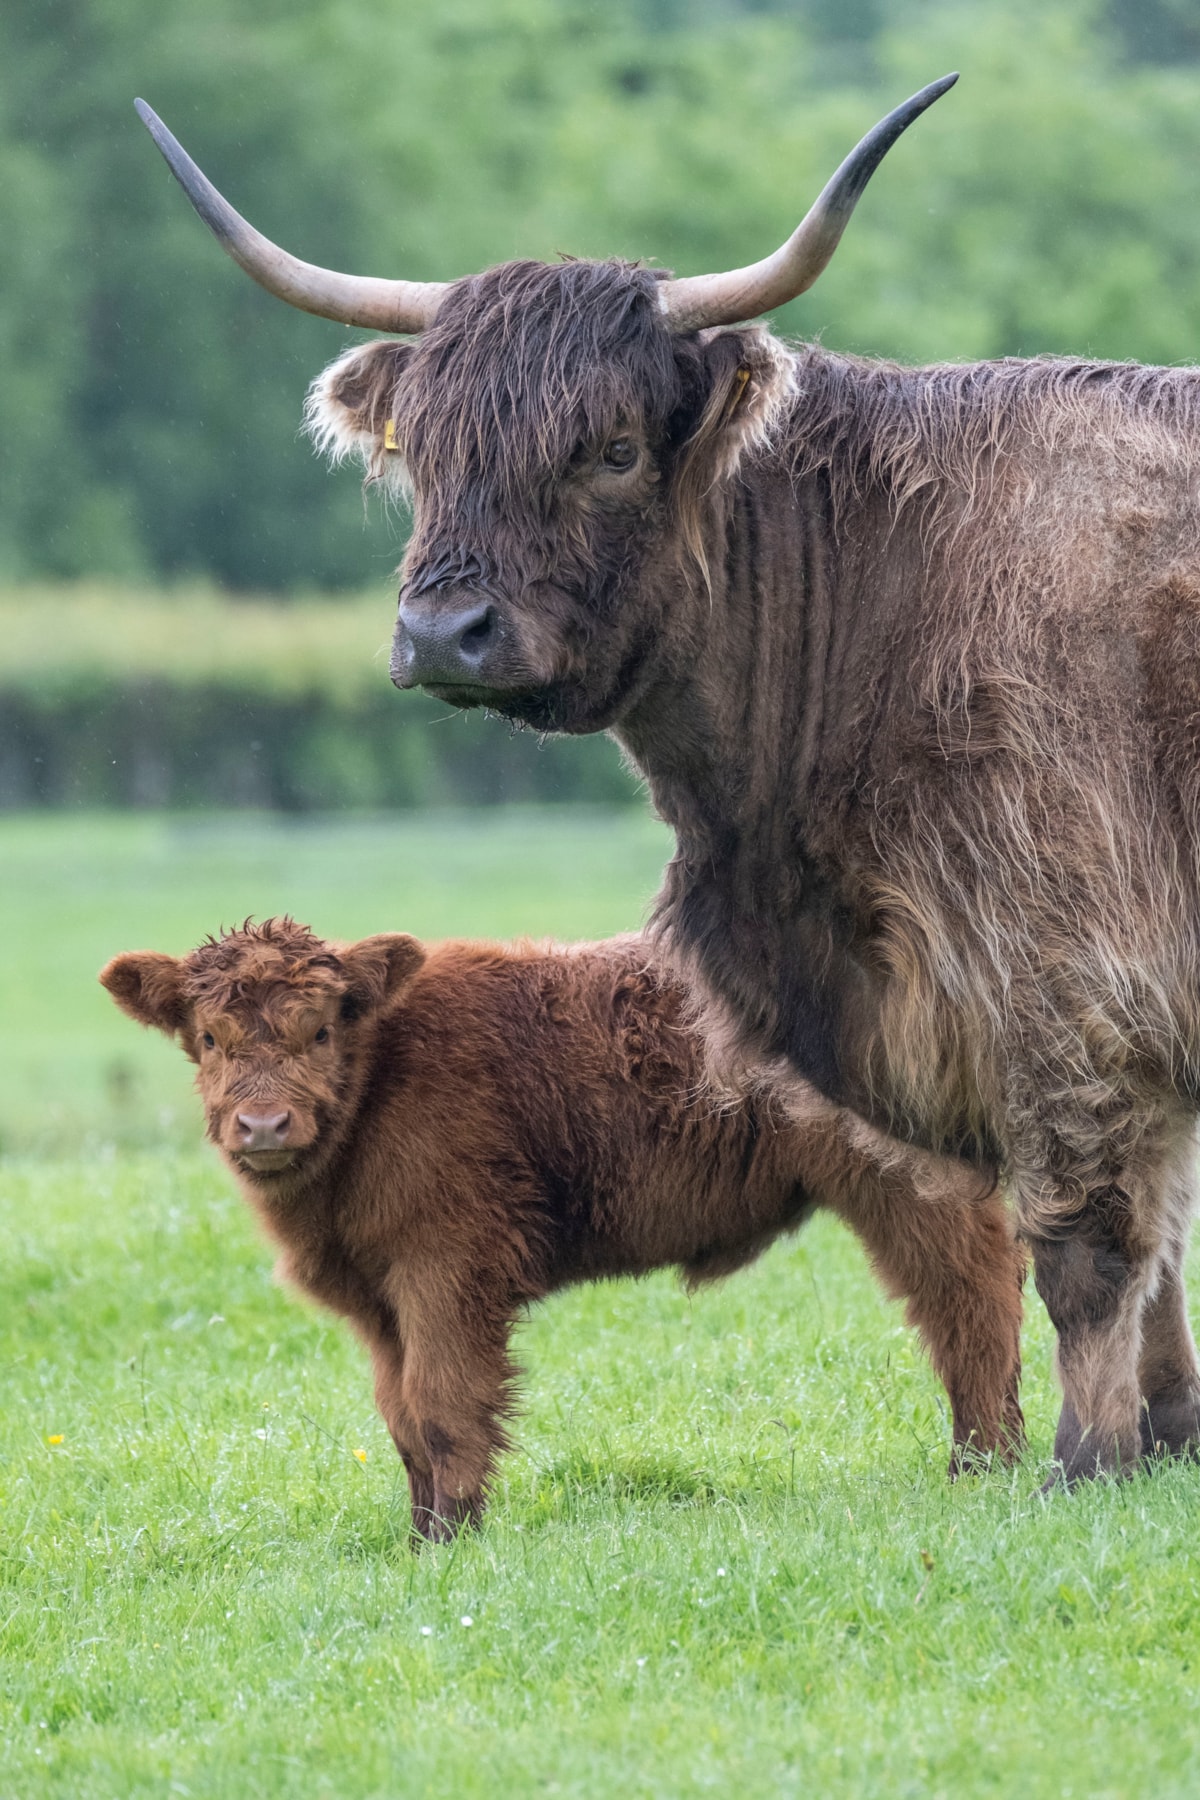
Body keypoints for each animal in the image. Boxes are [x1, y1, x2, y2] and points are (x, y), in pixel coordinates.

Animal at [100, 921, 1021, 1540]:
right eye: (208, 1037)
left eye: (320, 1028)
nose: (263, 1124)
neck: (380, 1078)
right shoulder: (379, 1301)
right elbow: (401, 1420)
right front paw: (417, 1539)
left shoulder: (449, 1269)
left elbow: (446, 1405)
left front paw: (454, 1542)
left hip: (915, 1190)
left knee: (970, 1310)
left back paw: (983, 1472)